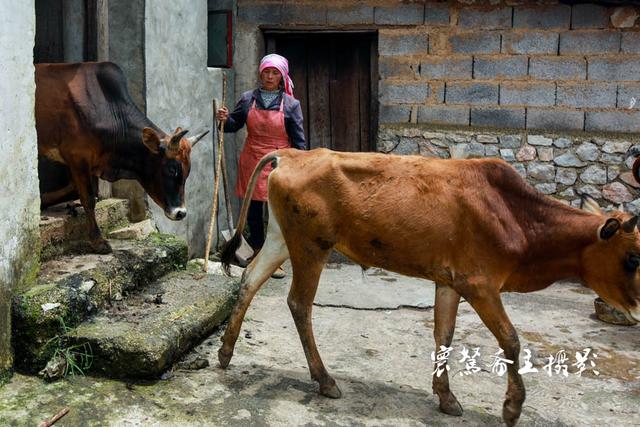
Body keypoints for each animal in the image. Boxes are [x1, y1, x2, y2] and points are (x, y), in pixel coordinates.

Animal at [35, 61, 208, 252]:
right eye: (171, 169)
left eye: (188, 171)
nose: (181, 213)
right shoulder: (77, 157)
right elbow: (88, 198)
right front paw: (98, 241)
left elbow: (73, 187)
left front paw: (42, 200)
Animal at [220, 149, 640, 426]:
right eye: (634, 258)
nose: (637, 307)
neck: (515, 215)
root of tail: (291, 154)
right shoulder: (480, 284)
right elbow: (511, 340)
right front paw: (512, 407)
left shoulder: (449, 282)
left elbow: (444, 335)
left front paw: (446, 396)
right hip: (311, 247)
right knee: (299, 303)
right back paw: (325, 380)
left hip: (280, 239)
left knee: (249, 279)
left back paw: (226, 352)